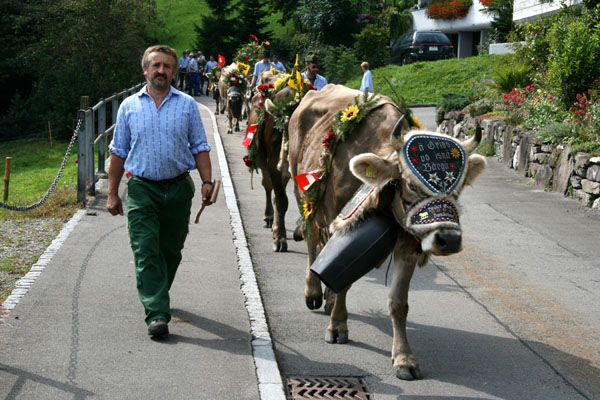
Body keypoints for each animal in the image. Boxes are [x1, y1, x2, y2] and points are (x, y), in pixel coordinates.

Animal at [284, 83, 486, 378]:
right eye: (411, 185)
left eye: (458, 188)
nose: (448, 240)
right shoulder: (340, 221)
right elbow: (343, 279)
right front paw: (337, 327)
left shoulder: (408, 242)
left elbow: (398, 303)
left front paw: (404, 359)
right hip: (303, 192)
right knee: (311, 242)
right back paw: (313, 293)